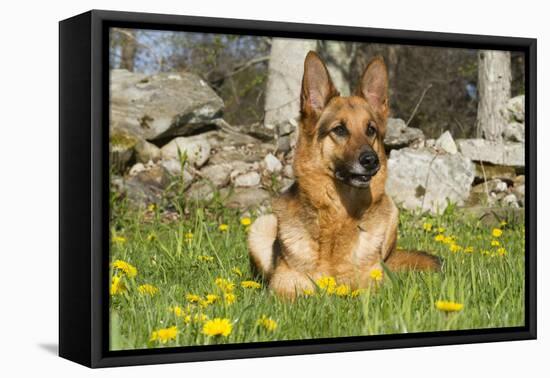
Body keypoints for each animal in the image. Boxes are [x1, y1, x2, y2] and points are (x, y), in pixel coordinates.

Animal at [248, 51, 442, 298]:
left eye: (370, 130)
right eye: (339, 129)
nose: (371, 161)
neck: (338, 213)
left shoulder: (375, 285)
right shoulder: (283, 286)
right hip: (261, 226)